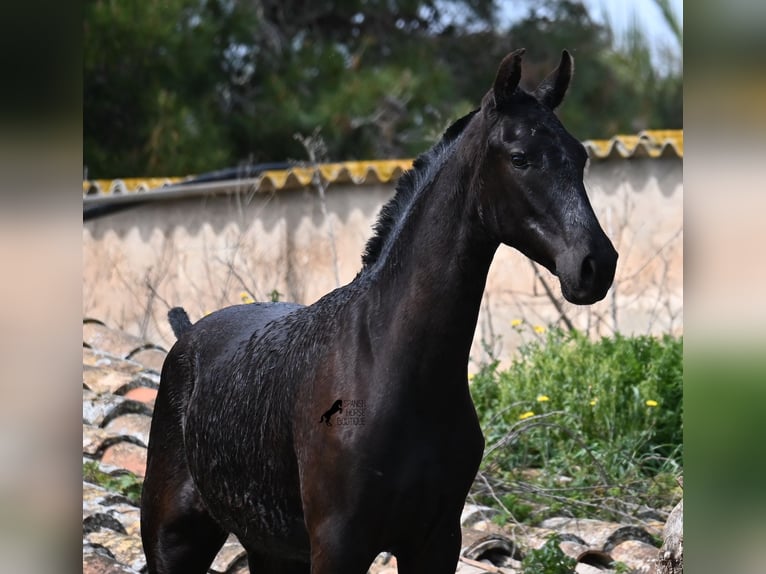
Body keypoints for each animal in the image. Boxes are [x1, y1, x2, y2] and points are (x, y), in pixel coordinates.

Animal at [140, 50, 616, 574]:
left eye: (579, 157)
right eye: (519, 157)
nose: (595, 265)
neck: (390, 366)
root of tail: (186, 335)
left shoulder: (436, 542)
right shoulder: (339, 545)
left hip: (269, 549)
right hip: (174, 543)